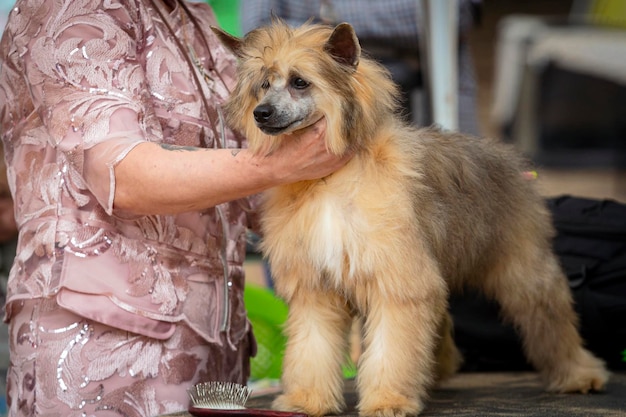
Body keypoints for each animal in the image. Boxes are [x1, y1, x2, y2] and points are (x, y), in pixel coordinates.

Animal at [208, 22, 604, 416]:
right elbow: (312, 349)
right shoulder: (316, 290)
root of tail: (509, 160)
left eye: (300, 82)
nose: (261, 113)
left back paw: (579, 373)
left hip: (524, 273)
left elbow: (392, 350)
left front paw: (389, 400)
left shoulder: (397, 283)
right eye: (263, 84)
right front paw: (307, 398)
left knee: (551, 322)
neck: (331, 178)